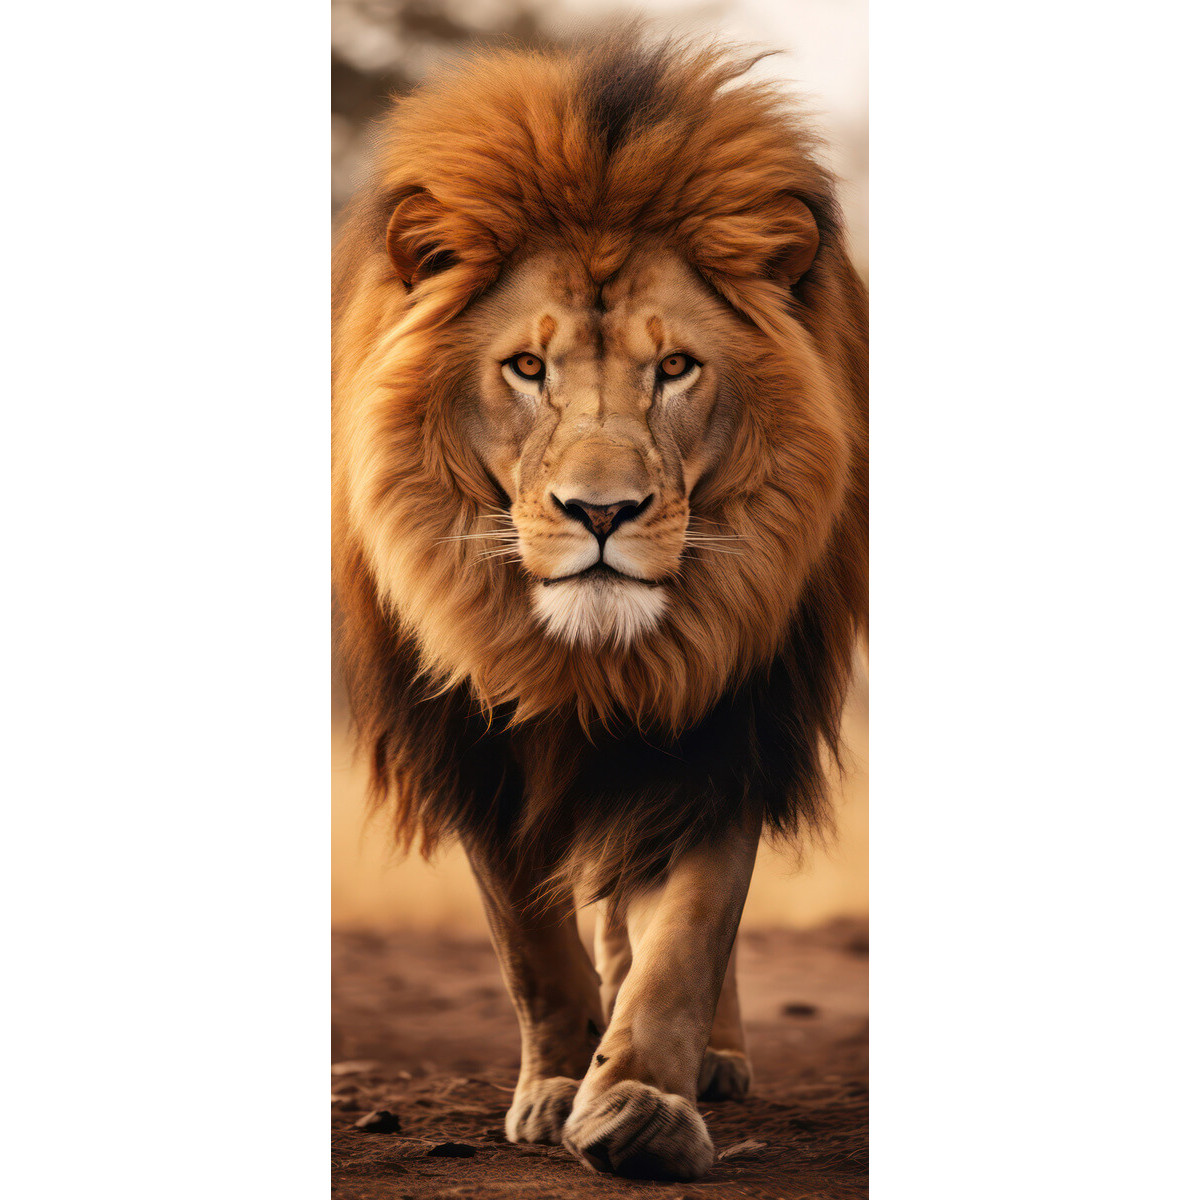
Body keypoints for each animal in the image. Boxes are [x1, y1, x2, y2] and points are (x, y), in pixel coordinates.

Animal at [333, 32, 867, 1182]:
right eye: (528, 367)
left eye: (675, 367)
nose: (603, 511)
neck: (587, 664)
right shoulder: (474, 735)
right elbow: (528, 944)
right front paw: (558, 1084)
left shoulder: (728, 718)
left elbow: (691, 932)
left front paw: (643, 1102)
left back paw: (712, 1059)